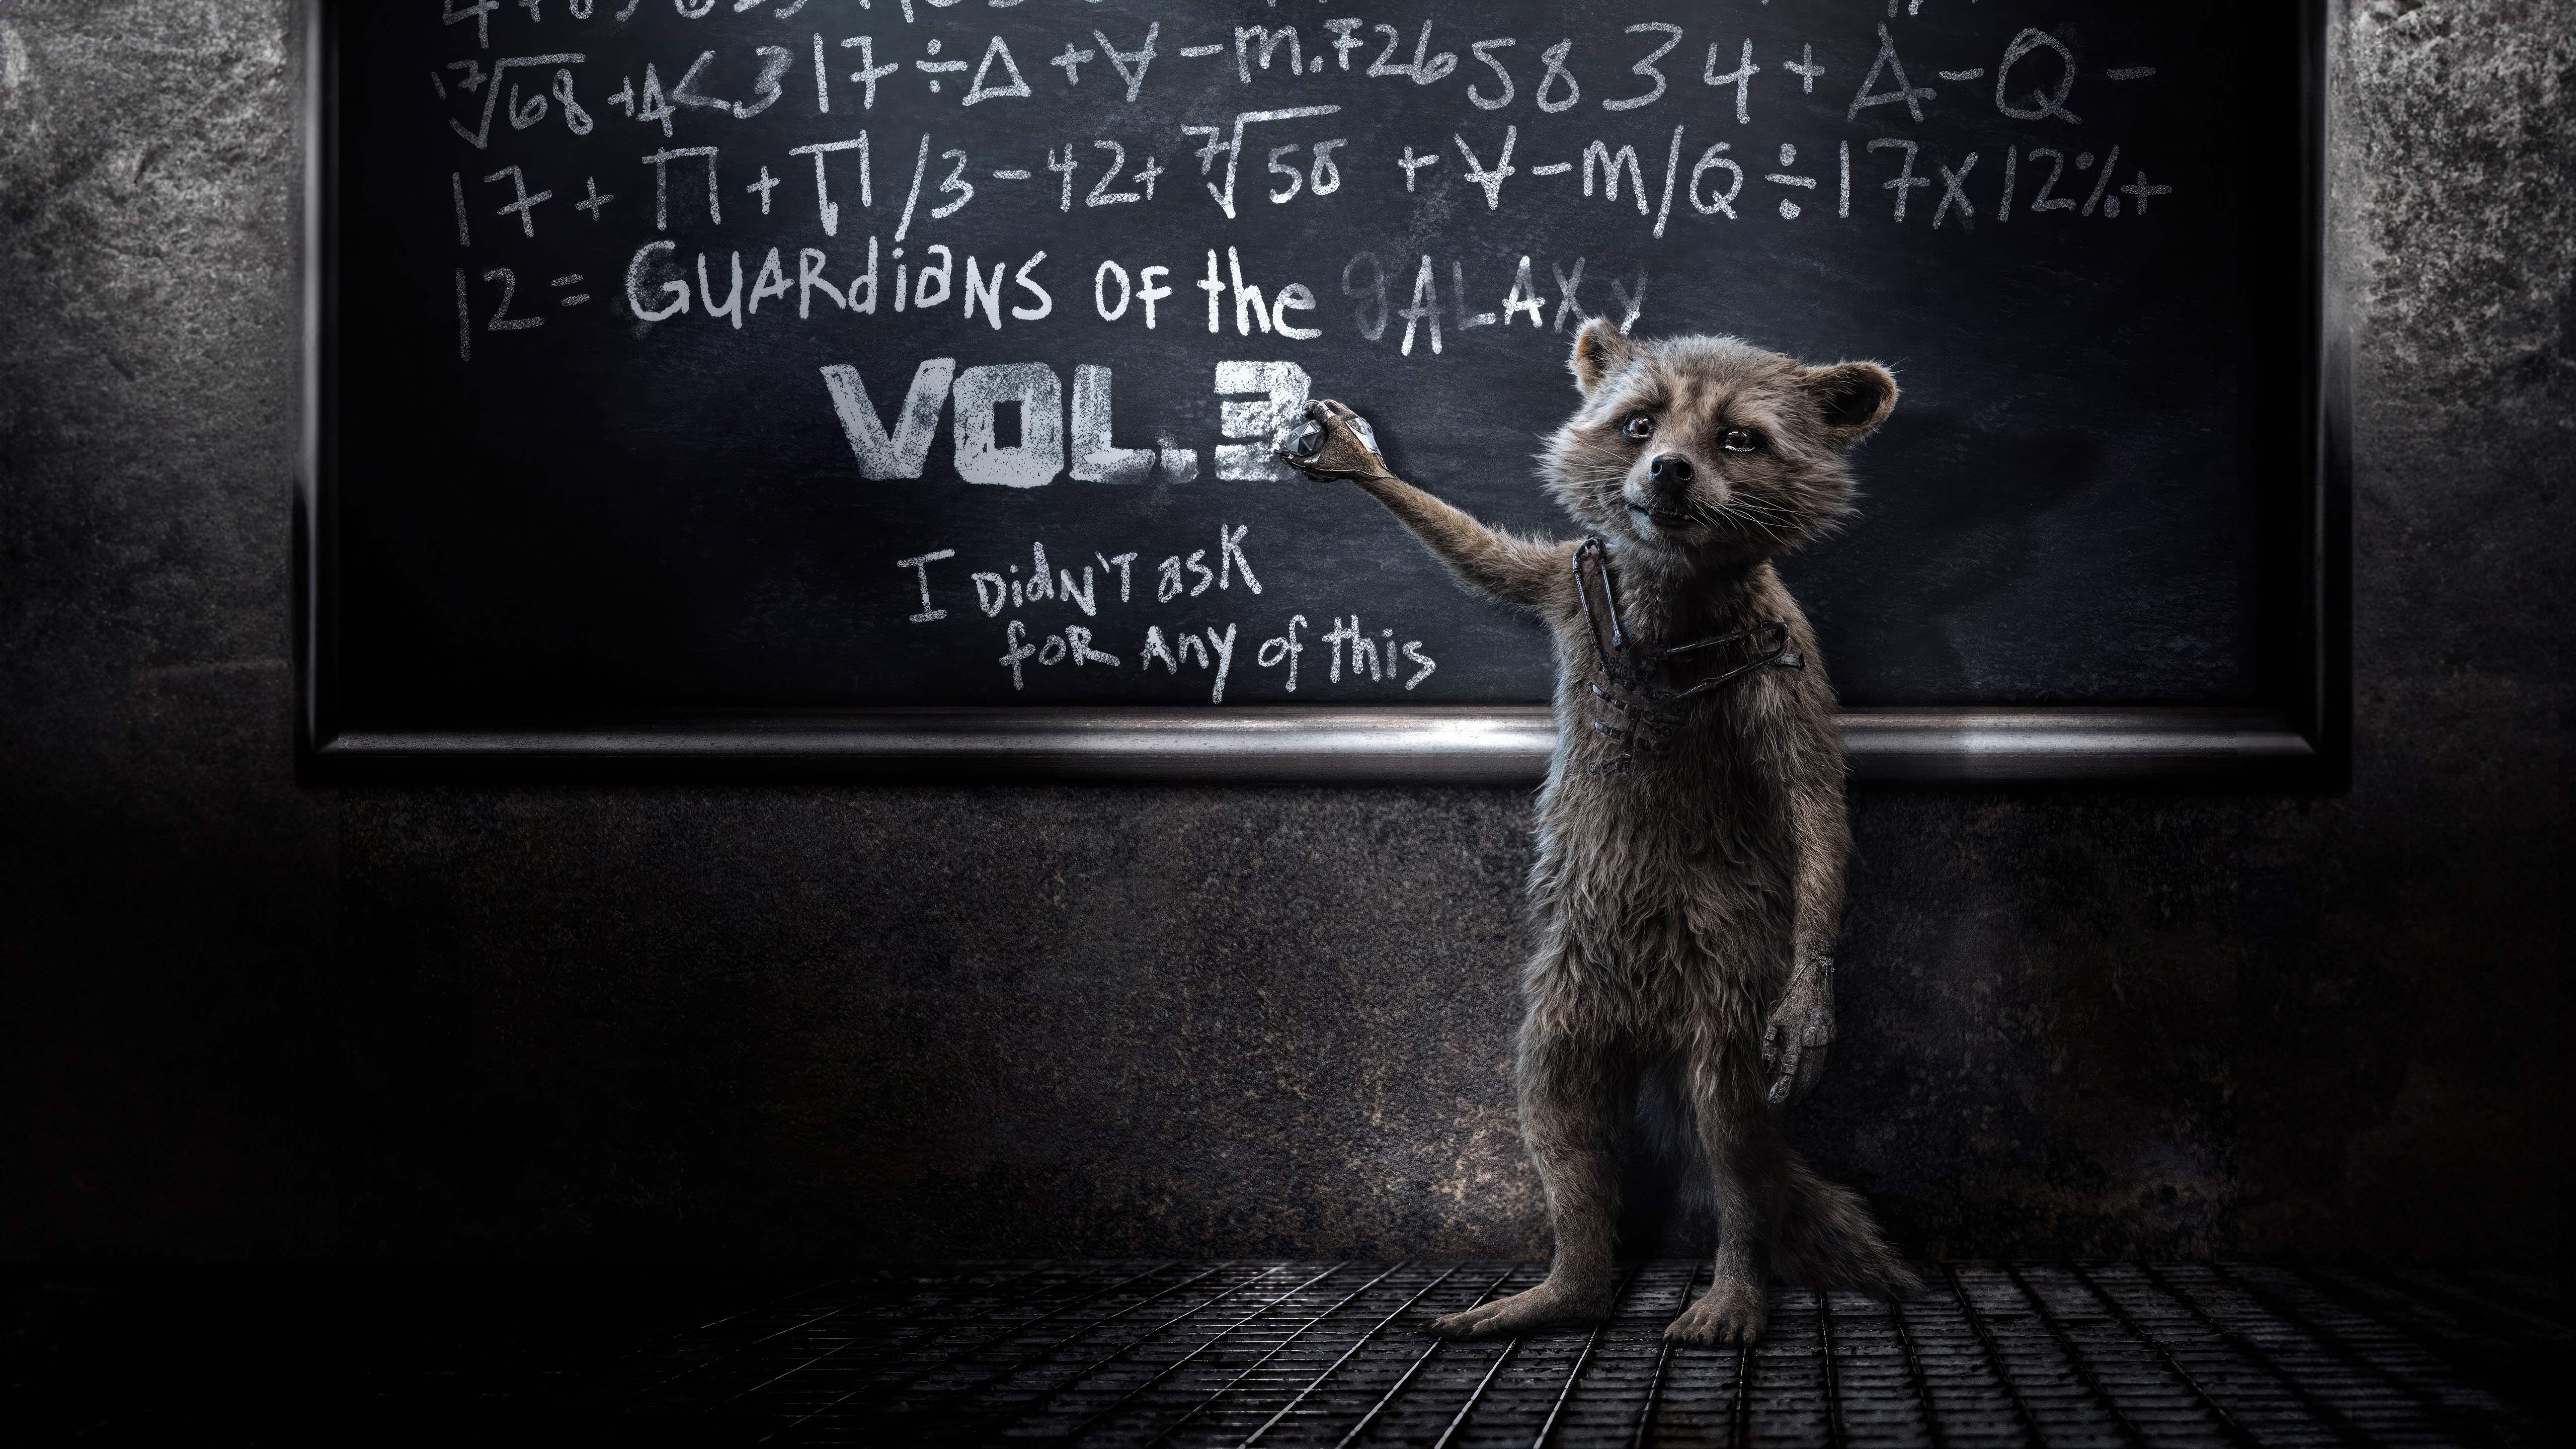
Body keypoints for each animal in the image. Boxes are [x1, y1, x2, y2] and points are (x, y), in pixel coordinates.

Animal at [1279, 319, 1918, 1344]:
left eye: (1739, 439)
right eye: (1640, 423)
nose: (1669, 472)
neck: (1673, 583)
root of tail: (1649, 1010)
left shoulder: (1784, 652)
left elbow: (1816, 801)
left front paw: (1815, 986)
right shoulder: (1573, 586)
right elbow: (1485, 557)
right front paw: (1365, 465)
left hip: (1727, 962)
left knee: (1730, 1129)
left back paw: (1736, 1284)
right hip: (1574, 978)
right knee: (1558, 1104)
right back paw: (1571, 1282)